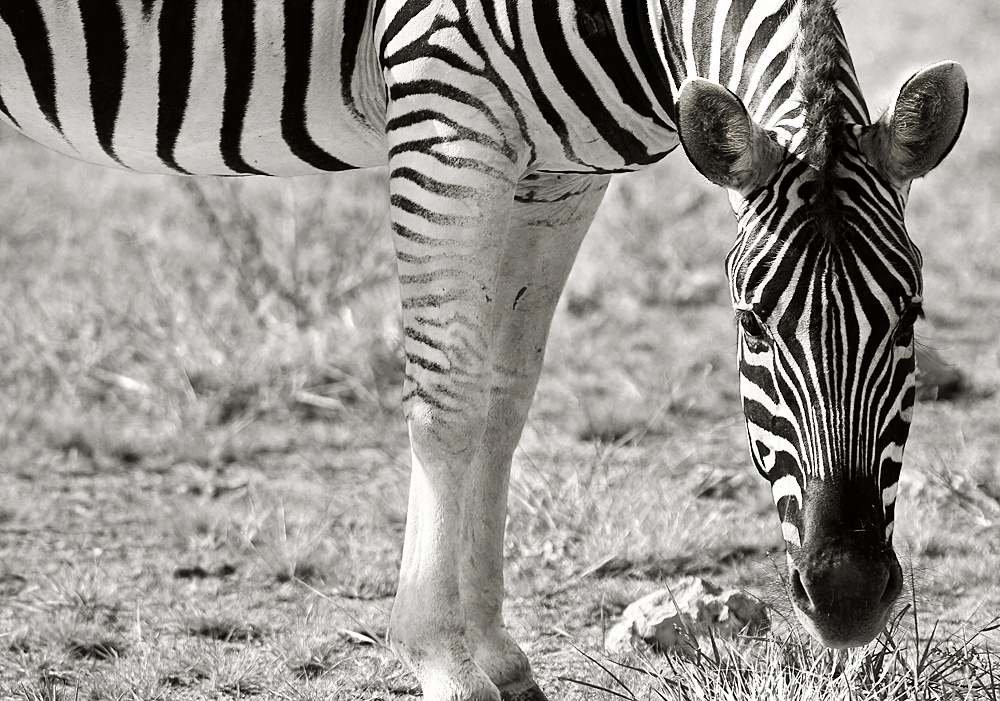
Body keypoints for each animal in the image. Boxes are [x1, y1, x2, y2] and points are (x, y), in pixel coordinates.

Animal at [0, 1, 968, 700]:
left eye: (911, 316)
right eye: (753, 322)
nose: (846, 596)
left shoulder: (558, 171)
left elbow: (507, 397)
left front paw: (498, 653)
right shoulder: (444, 115)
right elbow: (451, 400)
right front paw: (442, 658)